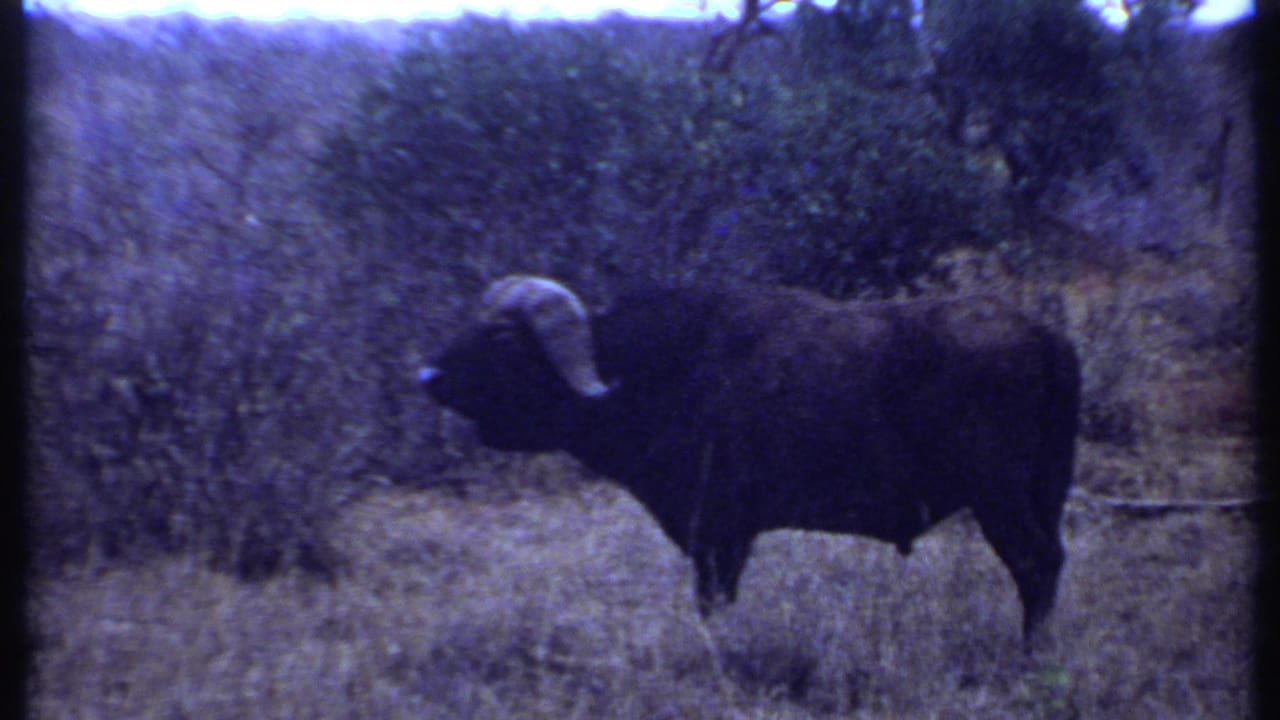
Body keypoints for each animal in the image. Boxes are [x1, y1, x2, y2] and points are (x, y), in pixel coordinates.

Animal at [419, 275, 1080, 646]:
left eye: (503, 338)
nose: (428, 374)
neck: (653, 372)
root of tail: (1044, 334)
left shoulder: (718, 537)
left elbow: (713, 608)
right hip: (1044, 494)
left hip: (998, 497)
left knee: (1034, 564)